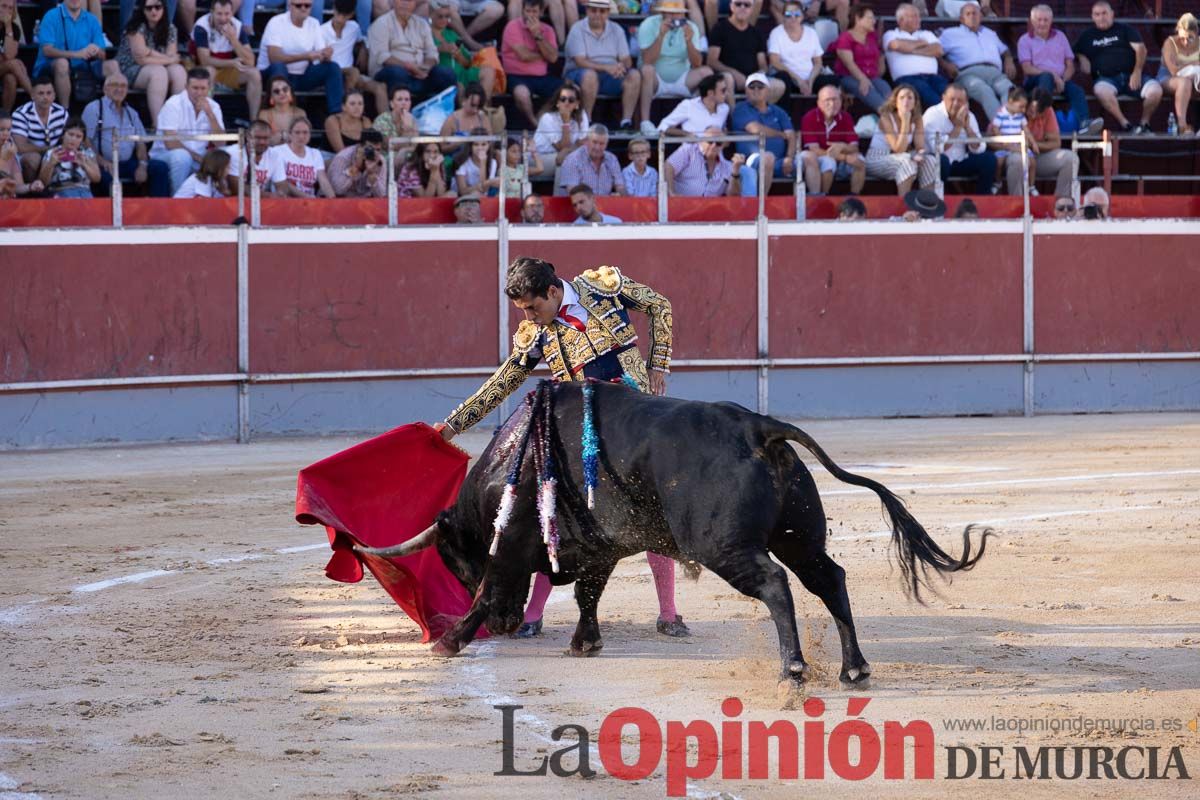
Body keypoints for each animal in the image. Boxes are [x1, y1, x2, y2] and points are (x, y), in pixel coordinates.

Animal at [357, 381, 993, 690]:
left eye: (456, 561)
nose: (512, 626)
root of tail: (758, 427)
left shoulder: (512, 543)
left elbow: (494, 590)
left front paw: (449, 640)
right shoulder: (599, 549)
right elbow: (588, 594)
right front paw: (585, 643)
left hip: (723, 547)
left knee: (776, 584)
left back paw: (792, 670)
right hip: (798, 535)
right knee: (828, 578)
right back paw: (853, 669)